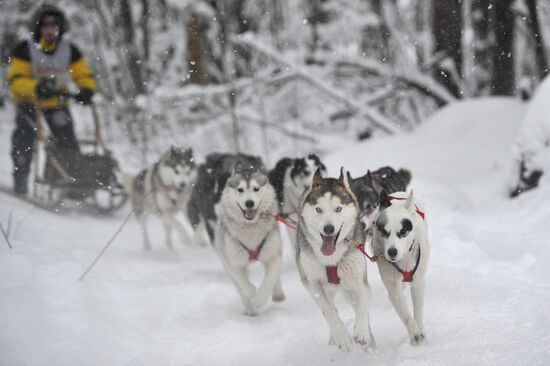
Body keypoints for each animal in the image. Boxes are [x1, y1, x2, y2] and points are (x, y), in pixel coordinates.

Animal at [376, 190, 432, 344]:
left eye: (403, 231)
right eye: (384, 232)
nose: (392, 252)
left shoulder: (418, 282)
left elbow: (418, 310)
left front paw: (420, 331)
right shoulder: (393, 288)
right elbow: (405, 314)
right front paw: (415, 334)